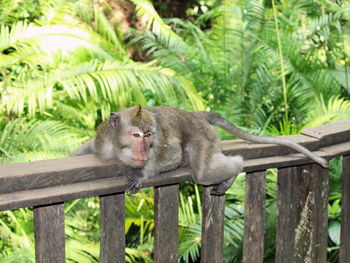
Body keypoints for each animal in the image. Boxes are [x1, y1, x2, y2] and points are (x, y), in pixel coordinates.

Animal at [72, 105, 330, 196]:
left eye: (149, 135)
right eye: (136, 135)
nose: (144, 150)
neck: (119, 148)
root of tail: (194, 114)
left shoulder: (162, 142)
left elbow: (173, 156)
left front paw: (140, 173)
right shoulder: (103, 140)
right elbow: (90, 148)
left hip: (204, 137)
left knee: (204, 172)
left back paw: (236, 167)